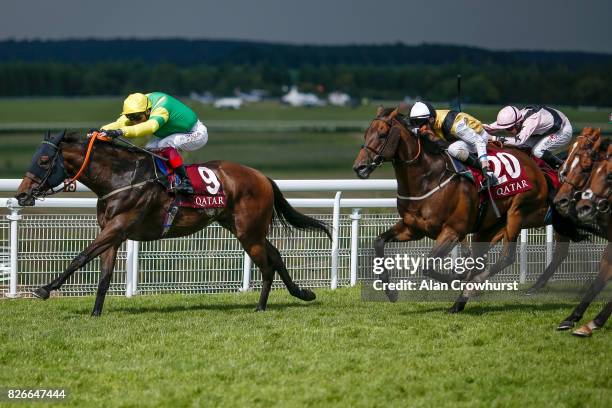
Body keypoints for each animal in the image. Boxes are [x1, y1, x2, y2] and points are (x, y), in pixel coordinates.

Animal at [13, 131, 330, 316]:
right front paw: (96, 313)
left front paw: (44, 289)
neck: (120, 177)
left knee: (266, 265)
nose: (21, 194)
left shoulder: (118, 227)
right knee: (275, 255)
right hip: (242, 228)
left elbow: (79, 257)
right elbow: (103, 276)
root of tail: (262, 176)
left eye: (44, 160)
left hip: (248, 232)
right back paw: (302, 293)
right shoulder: (112, 233)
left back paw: (261, 306)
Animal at [352, 107, 576, 314]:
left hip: (517, 213)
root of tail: (534, 166)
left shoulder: (452, 231)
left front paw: (456, 276)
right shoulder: (412, 228)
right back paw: (463, 299)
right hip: (490, 227)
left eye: (382, 134)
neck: (428, 178)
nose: (359, 167)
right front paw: (391, 291)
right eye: (366, 134)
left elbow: (428, 266)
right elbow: (378, 241)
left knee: (506, 258)